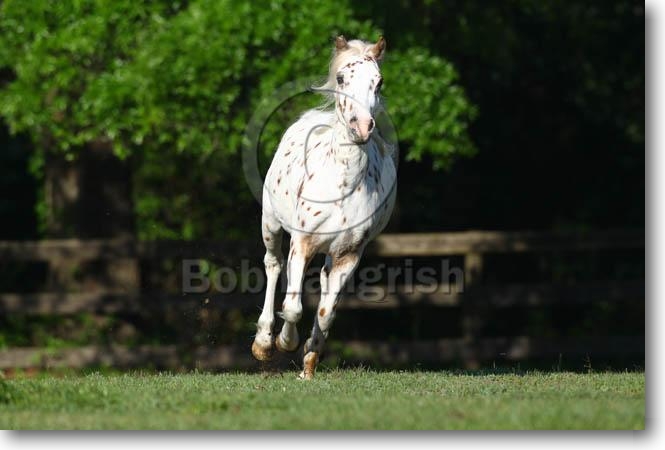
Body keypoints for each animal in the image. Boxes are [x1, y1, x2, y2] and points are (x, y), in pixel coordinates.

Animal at [251, 35, 397, 379]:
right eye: (342, 78)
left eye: (379, 81)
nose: (361, 127)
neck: (342, 184)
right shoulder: (301, 243)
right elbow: (293, 307)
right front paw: (285, 343)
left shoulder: (349, 254)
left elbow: (326, 312)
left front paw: (309, 358)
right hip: (271, 225)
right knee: (272, 264)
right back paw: (263, 343)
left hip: (331, 254)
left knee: (323, 284)